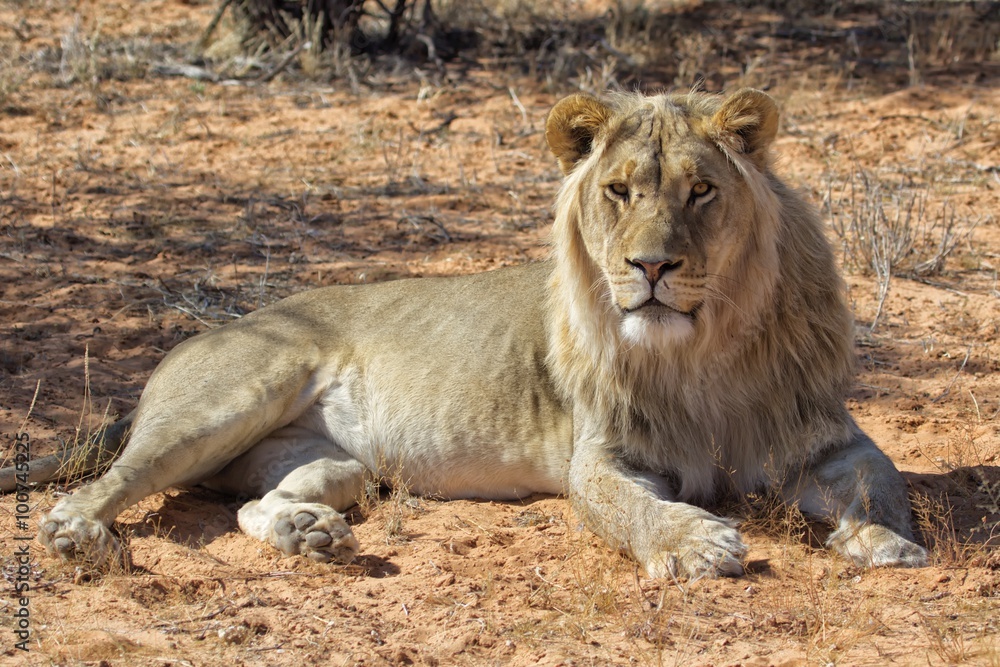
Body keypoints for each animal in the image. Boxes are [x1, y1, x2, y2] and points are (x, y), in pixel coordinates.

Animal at [4, 88, 928, 578]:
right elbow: (631, 507)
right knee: (106, 484)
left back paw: (308, 532)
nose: (651, 266)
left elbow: (883, 480)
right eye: (620, 191)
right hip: (231, 394)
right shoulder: (602, 454)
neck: (703, 353)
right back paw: (78, 535)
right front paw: (693, 541)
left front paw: (883, 539)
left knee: (248, 502)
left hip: (336, 464)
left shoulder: (823, 431)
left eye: (701, 190)